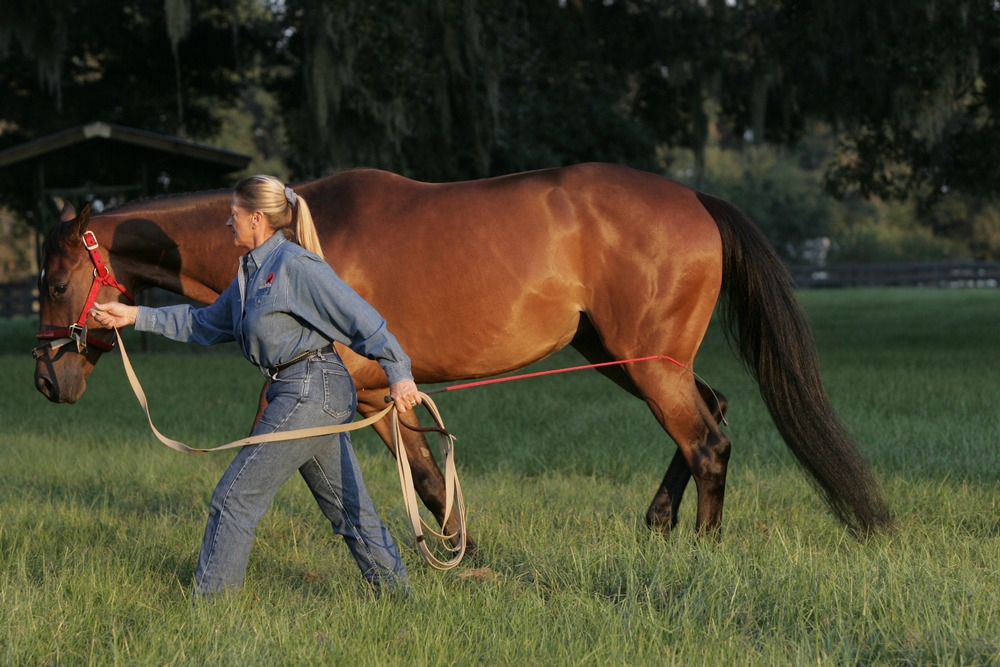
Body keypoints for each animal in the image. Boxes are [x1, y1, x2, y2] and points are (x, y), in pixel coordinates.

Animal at [31, 163, 896, 548]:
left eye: (55, 278)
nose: (47, 377)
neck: (303, 242)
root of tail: (695, 199)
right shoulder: (378, 398)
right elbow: (406, 477)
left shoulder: (371, 393)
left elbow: (414, 478)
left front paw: (457, 552)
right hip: (628, 357)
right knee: (707, 417)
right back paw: (658, 522)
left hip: (647, 363)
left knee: (708, 439)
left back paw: (703, 549)